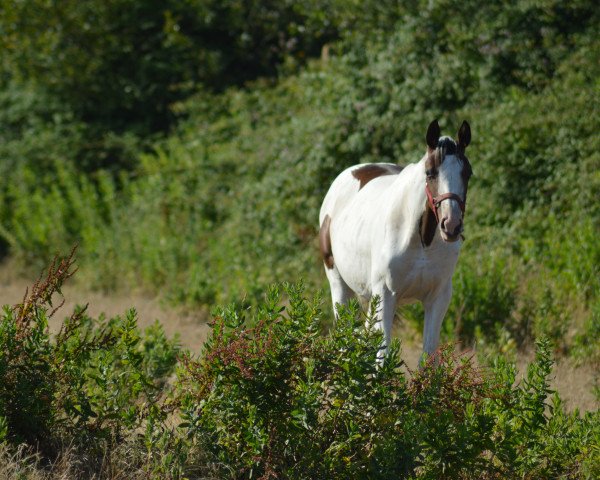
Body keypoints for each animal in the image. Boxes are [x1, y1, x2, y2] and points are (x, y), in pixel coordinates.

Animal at [318, 119, 474, 360]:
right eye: (430, 172)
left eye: (467, 173)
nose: (451, 225)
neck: (421, 242)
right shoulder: (385, 295)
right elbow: (381, 356)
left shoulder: (438, 298)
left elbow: (428, 357)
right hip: (338, 284)